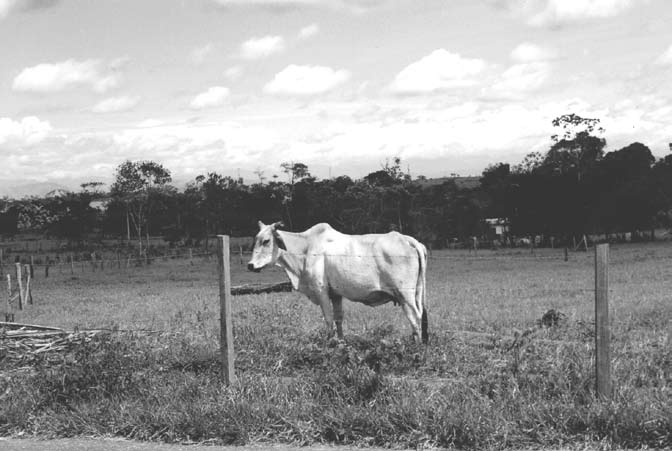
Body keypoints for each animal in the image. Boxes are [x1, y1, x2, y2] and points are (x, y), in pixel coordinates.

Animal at [248, 222, 430, 342]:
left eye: (266, 241)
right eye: (255, 240)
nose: (250, 265)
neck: (305, 248)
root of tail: (407, 239)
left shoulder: (321, 291)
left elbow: (328, 319)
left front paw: (330, 345)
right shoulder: (336, 294)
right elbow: (339, 319)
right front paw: (341, 343)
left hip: (405, 294)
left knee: (415, 317)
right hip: (414, 293)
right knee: (419, 316)